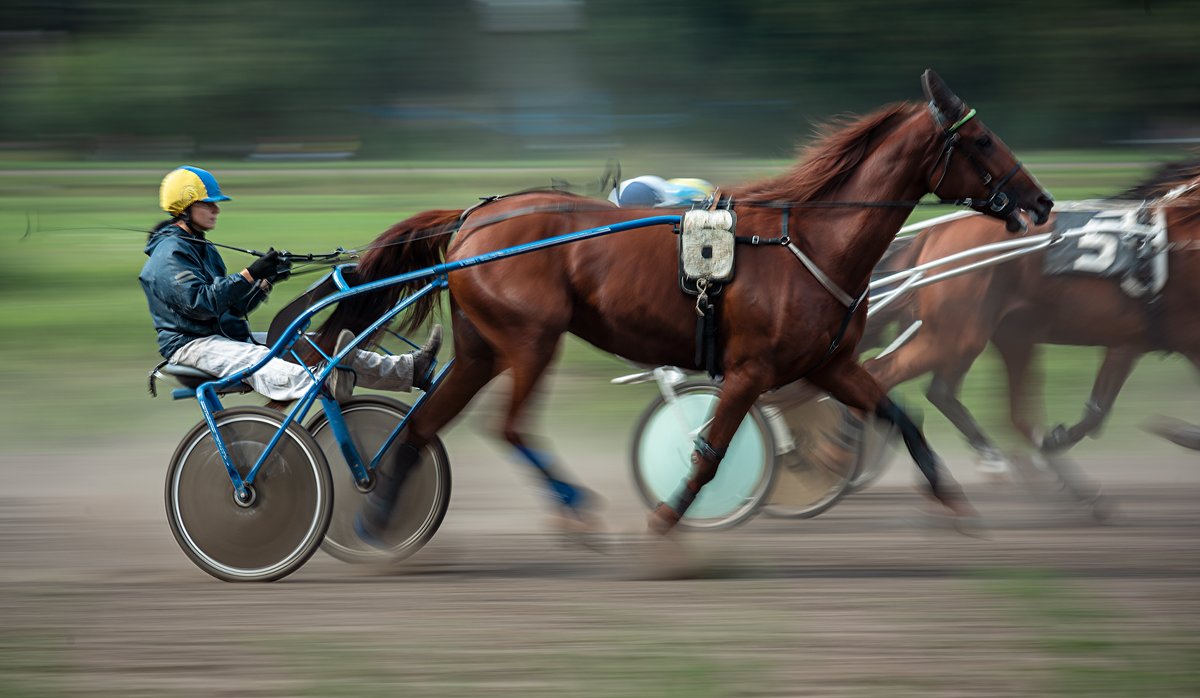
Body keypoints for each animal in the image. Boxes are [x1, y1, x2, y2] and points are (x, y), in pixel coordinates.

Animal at [316, 71, 1051, 539]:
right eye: (982, 140)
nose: (1041, 201)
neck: (809, 242)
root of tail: (471, 220)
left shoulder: (829, 363)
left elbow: (903, 418)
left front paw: (955, 504)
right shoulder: (753, 370)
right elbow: (709, 451)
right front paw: (667, 520)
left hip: (480, 346)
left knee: (424, 423)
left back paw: (377, 517)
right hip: (530, 339)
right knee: (509, 426)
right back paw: (573, 507)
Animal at [864, 158, 1200, 472]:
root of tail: (932, 234)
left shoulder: (1131, 340)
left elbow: (1097, 408)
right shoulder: (1182, 338)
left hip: (989, 335)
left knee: (950, 394)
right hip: (957, 335)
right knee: (882, 373)